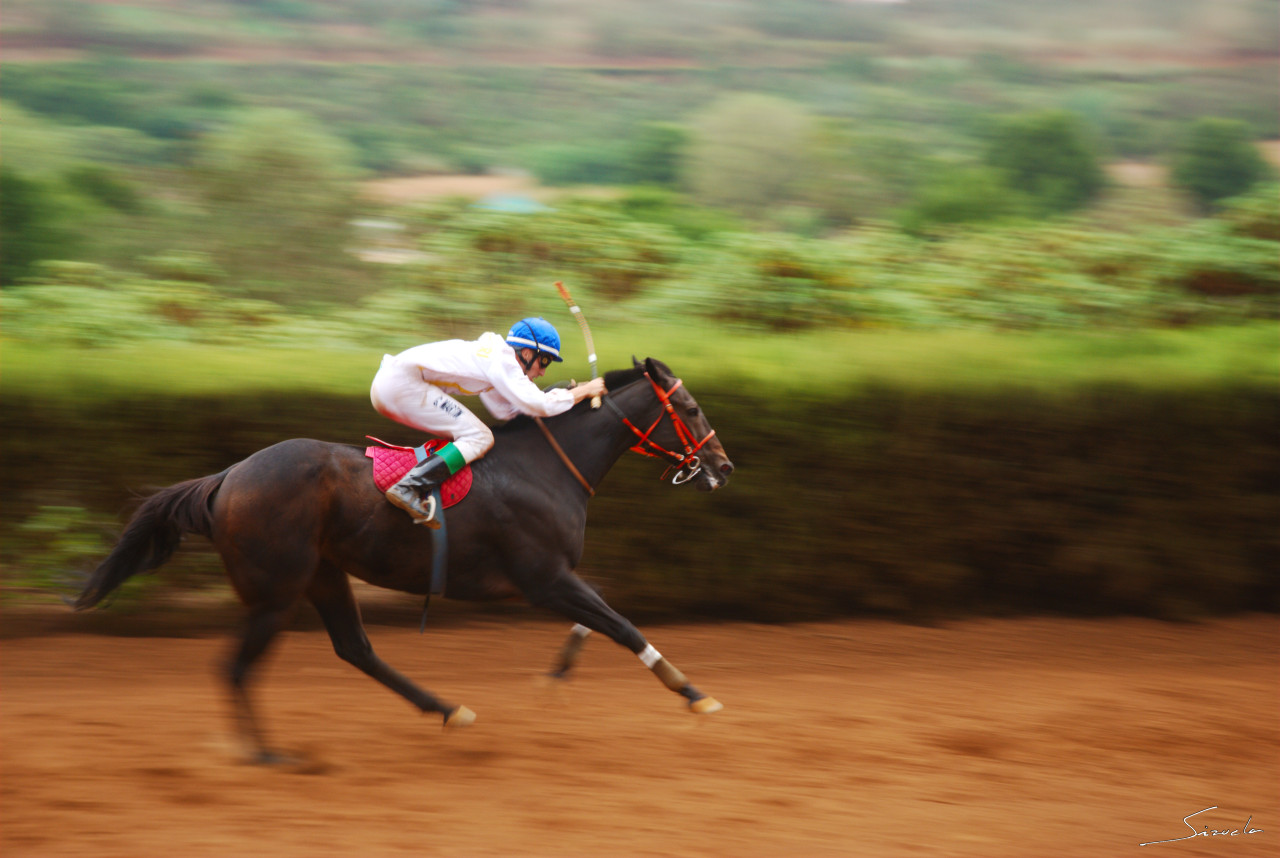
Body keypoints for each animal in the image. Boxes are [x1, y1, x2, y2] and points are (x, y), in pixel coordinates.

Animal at [74, 358, 737, 763]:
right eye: (692, 408)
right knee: (237, 667)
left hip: (323, 573)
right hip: (276, 590)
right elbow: (621, 624)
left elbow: (600, 615)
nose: (724, 467)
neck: (546, 467)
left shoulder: (553, 578)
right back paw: (265, 754)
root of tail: (227, 477)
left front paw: (557, 676)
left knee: (355, 648)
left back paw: (447, 709)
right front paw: (692, 692)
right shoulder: (543, 579)